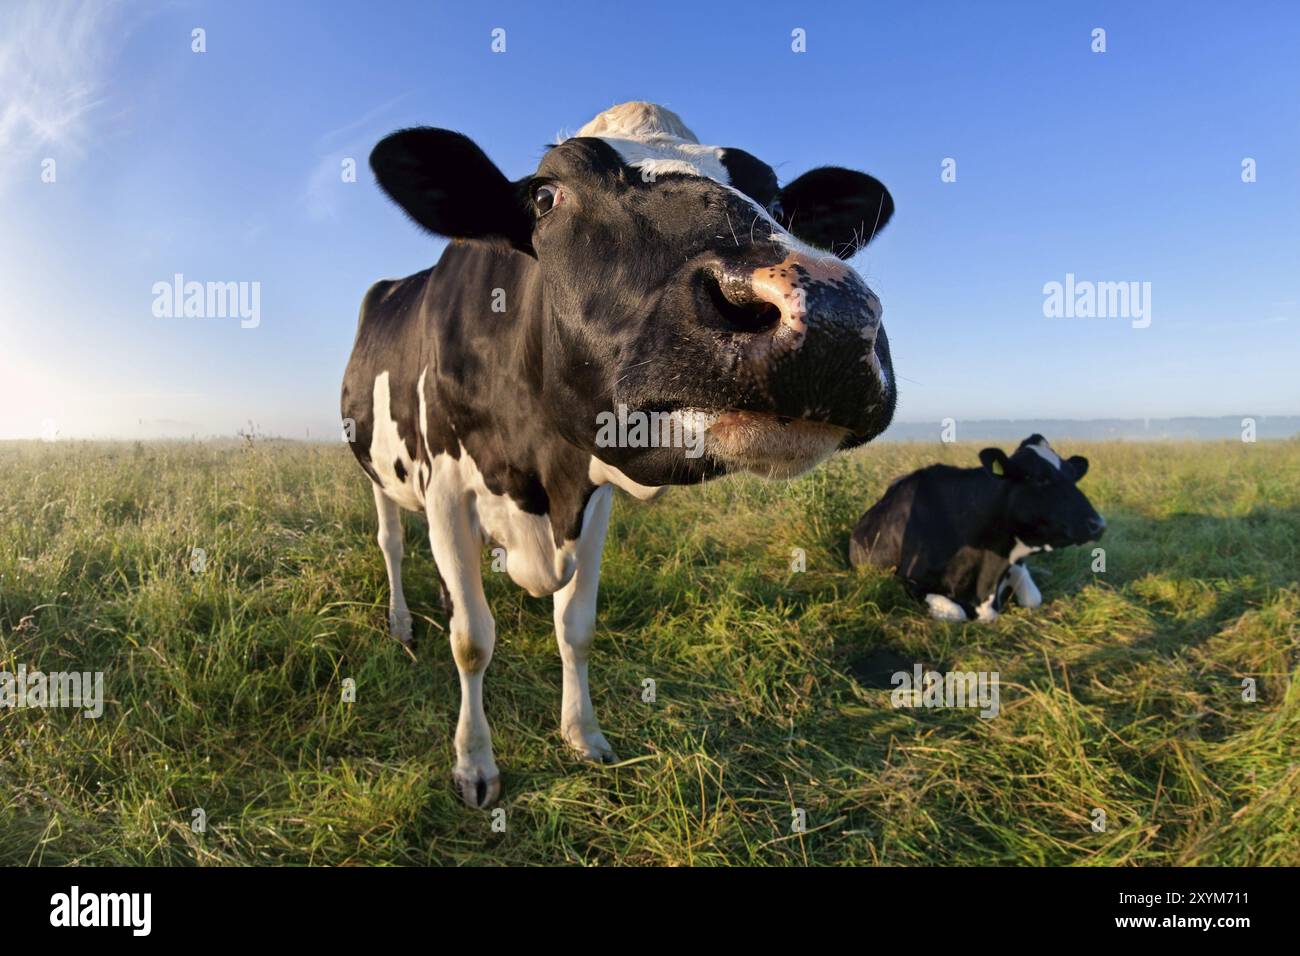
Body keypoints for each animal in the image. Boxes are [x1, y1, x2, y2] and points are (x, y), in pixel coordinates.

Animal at [340, 102, 899, 806]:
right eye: (546, 196)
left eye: (777, 202)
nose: (829, 313)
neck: (543, 472)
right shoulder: (445, 490)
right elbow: (473, 642)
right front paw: (475, 764)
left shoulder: (594, 496)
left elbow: (575, 626)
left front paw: (583, 734)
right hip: (378, 472)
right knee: (391, 542)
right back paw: (402, 622)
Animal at [852, 434, 1107, 629]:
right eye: (1039, 478)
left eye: (1073, 477)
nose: (1098, 524)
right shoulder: (906, 579)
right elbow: (956, 612)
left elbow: (1033, 598)